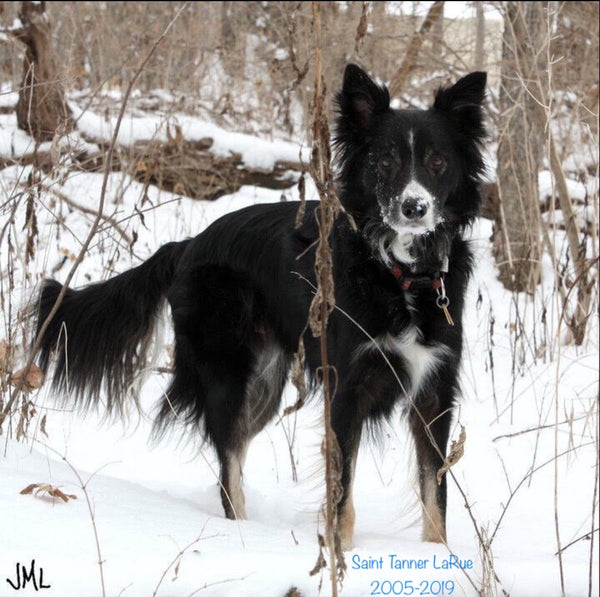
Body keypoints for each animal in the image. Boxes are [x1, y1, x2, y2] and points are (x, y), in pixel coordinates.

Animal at [34, 66, 488, 548]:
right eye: (385, 162)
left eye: (438, 162)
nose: (414, 207)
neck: (399, 272)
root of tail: (188, 244)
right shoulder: (346, 389)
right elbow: (342, 493)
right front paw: (341, 553)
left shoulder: (435, 390)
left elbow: (435, 494)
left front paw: (439, 555)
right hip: (227, 373)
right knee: (227, 466)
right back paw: (242, 536)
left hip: (266, 384)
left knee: (237, 448)